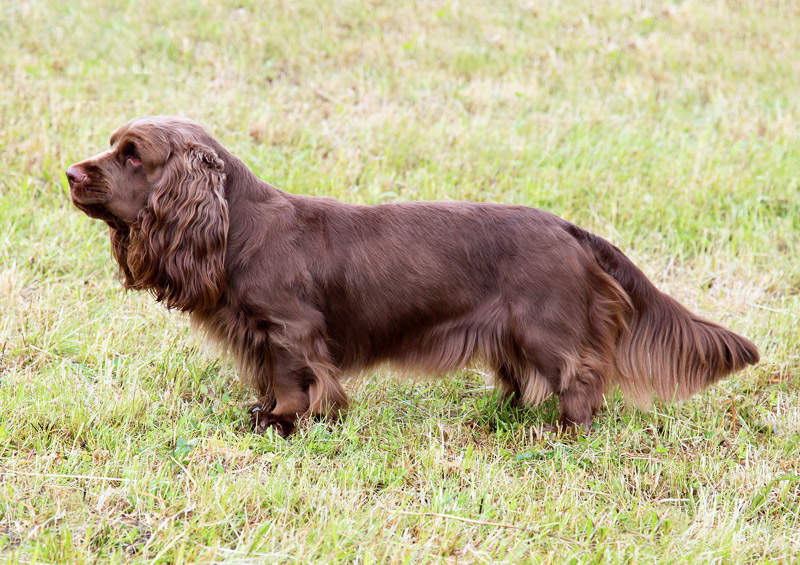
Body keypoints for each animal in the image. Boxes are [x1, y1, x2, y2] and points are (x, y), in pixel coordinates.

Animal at [65, 117, 760, 436]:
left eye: (132, 155)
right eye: (112, 147)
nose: (70, 172)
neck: (238, 227)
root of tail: (569, 229)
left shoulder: (289, 329)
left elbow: (293, 379)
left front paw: (285, 422)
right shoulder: (257, 334)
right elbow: (266, 377)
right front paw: (267, 413)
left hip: (546, 326)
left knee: (582, 374)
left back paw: (564, 431)